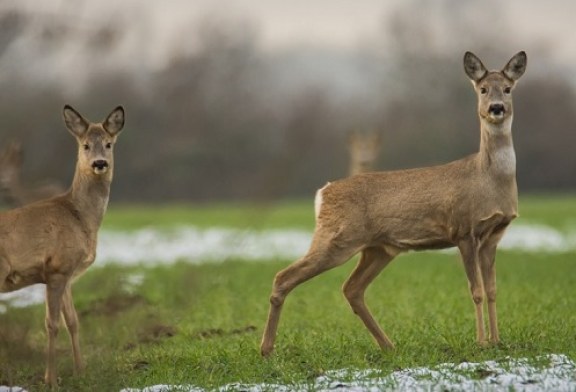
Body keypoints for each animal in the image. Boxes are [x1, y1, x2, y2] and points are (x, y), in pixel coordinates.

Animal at [0, 105, 125, 386]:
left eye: (109, 144)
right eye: (86, 145)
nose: (99, 163)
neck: (80, 217)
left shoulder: (67, 274)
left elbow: (73, 321)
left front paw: (81, 372)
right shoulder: (56, 268)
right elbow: (52, 324)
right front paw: (52, 380)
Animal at [260, 51, 528, 356]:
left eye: (507, 89)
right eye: (482, 89)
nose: (496, 108)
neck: (488, 179)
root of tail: (323, 193)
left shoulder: (494, 234)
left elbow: (493, 290)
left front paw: (497, 341)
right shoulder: (464, 231)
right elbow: (477, 291)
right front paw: (481, 342)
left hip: (378, 249)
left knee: (352, 288)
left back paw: (388, 345)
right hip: (336, 238)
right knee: (284, 276)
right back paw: (266, 349)